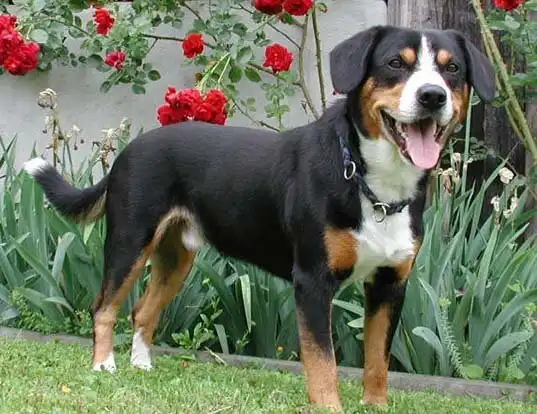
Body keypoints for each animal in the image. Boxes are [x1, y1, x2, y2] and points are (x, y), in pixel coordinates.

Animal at [25, 25, 494, 410]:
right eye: (396, 63)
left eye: (452, 69)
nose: (432, 96)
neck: (373, 184)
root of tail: (130, 148)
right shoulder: (313, 281)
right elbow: (322, 363)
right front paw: (329, 406)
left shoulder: (390, 284)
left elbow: (377, 361)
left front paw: (375, 406)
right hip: (129, 242)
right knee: (104, 306)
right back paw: (104, 365)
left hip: (177, 257)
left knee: (142, 311)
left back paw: (141, 365)